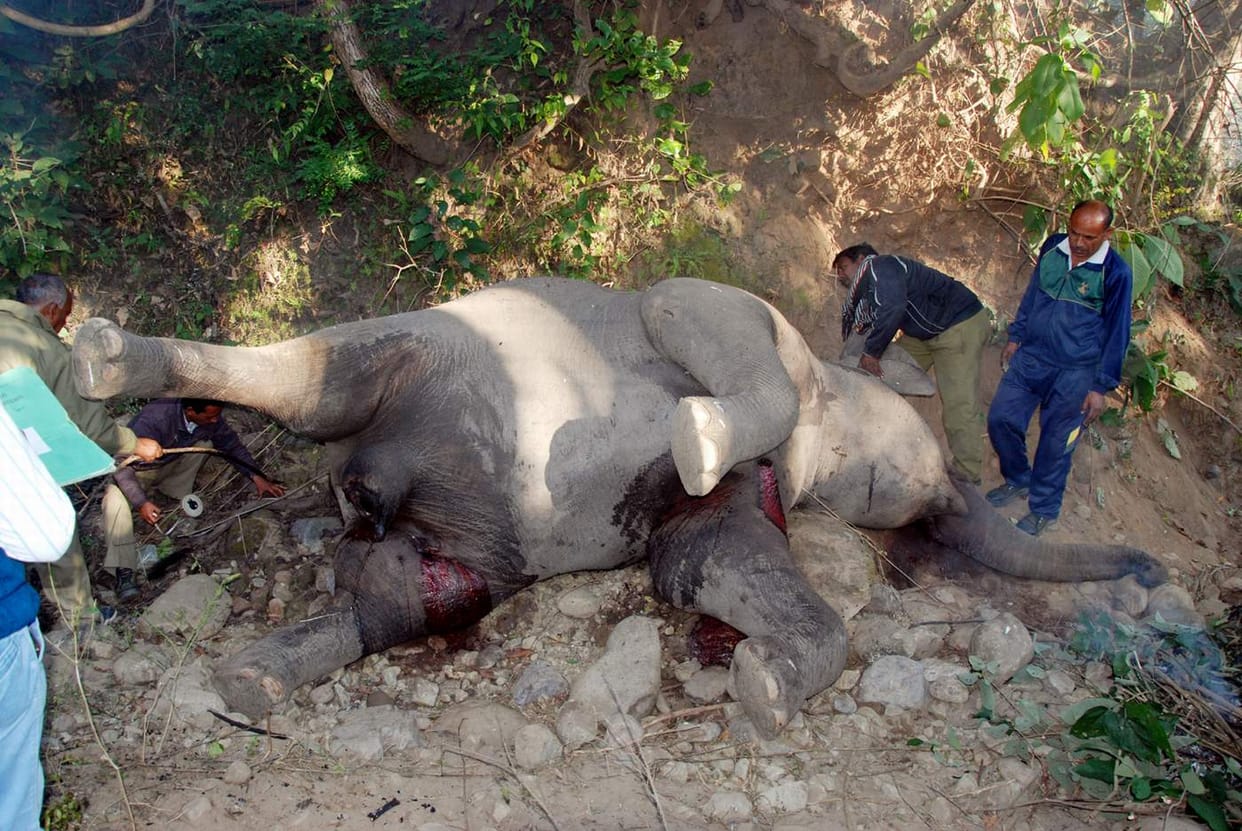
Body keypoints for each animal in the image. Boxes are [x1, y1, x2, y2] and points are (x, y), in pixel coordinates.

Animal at [71, 277, 1166, 737]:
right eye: (909, 483)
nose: (1155, 569)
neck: (833, 393)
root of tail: (361, 481)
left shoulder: (732, 505)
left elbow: (702, 568)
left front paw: (763, 688)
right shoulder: (744, 320)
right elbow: (688, 316)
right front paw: (697, 431)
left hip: (446, 532)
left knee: (401, 597)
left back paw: (254, 679)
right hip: (424, 352)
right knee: (319, 378)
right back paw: (107, 358)